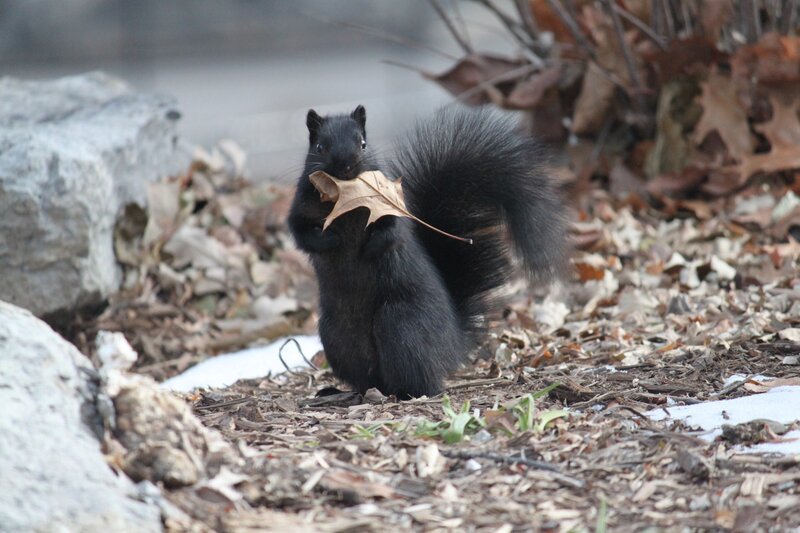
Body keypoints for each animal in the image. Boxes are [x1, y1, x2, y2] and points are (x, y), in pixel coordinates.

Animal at [288, 105, 568, 399]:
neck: (343, 197)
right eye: (320, 146)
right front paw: (332, 240)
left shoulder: (392, 209)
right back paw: (344, 392)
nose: (346, 165)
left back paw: (406, 392)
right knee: (367, 376)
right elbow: (302, 234)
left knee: (421, 378)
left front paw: (369, 248)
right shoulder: (301, 206)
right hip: (337, 338)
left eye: (363, 144)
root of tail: (452, 343)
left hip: (402, 325)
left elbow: (392, 233)